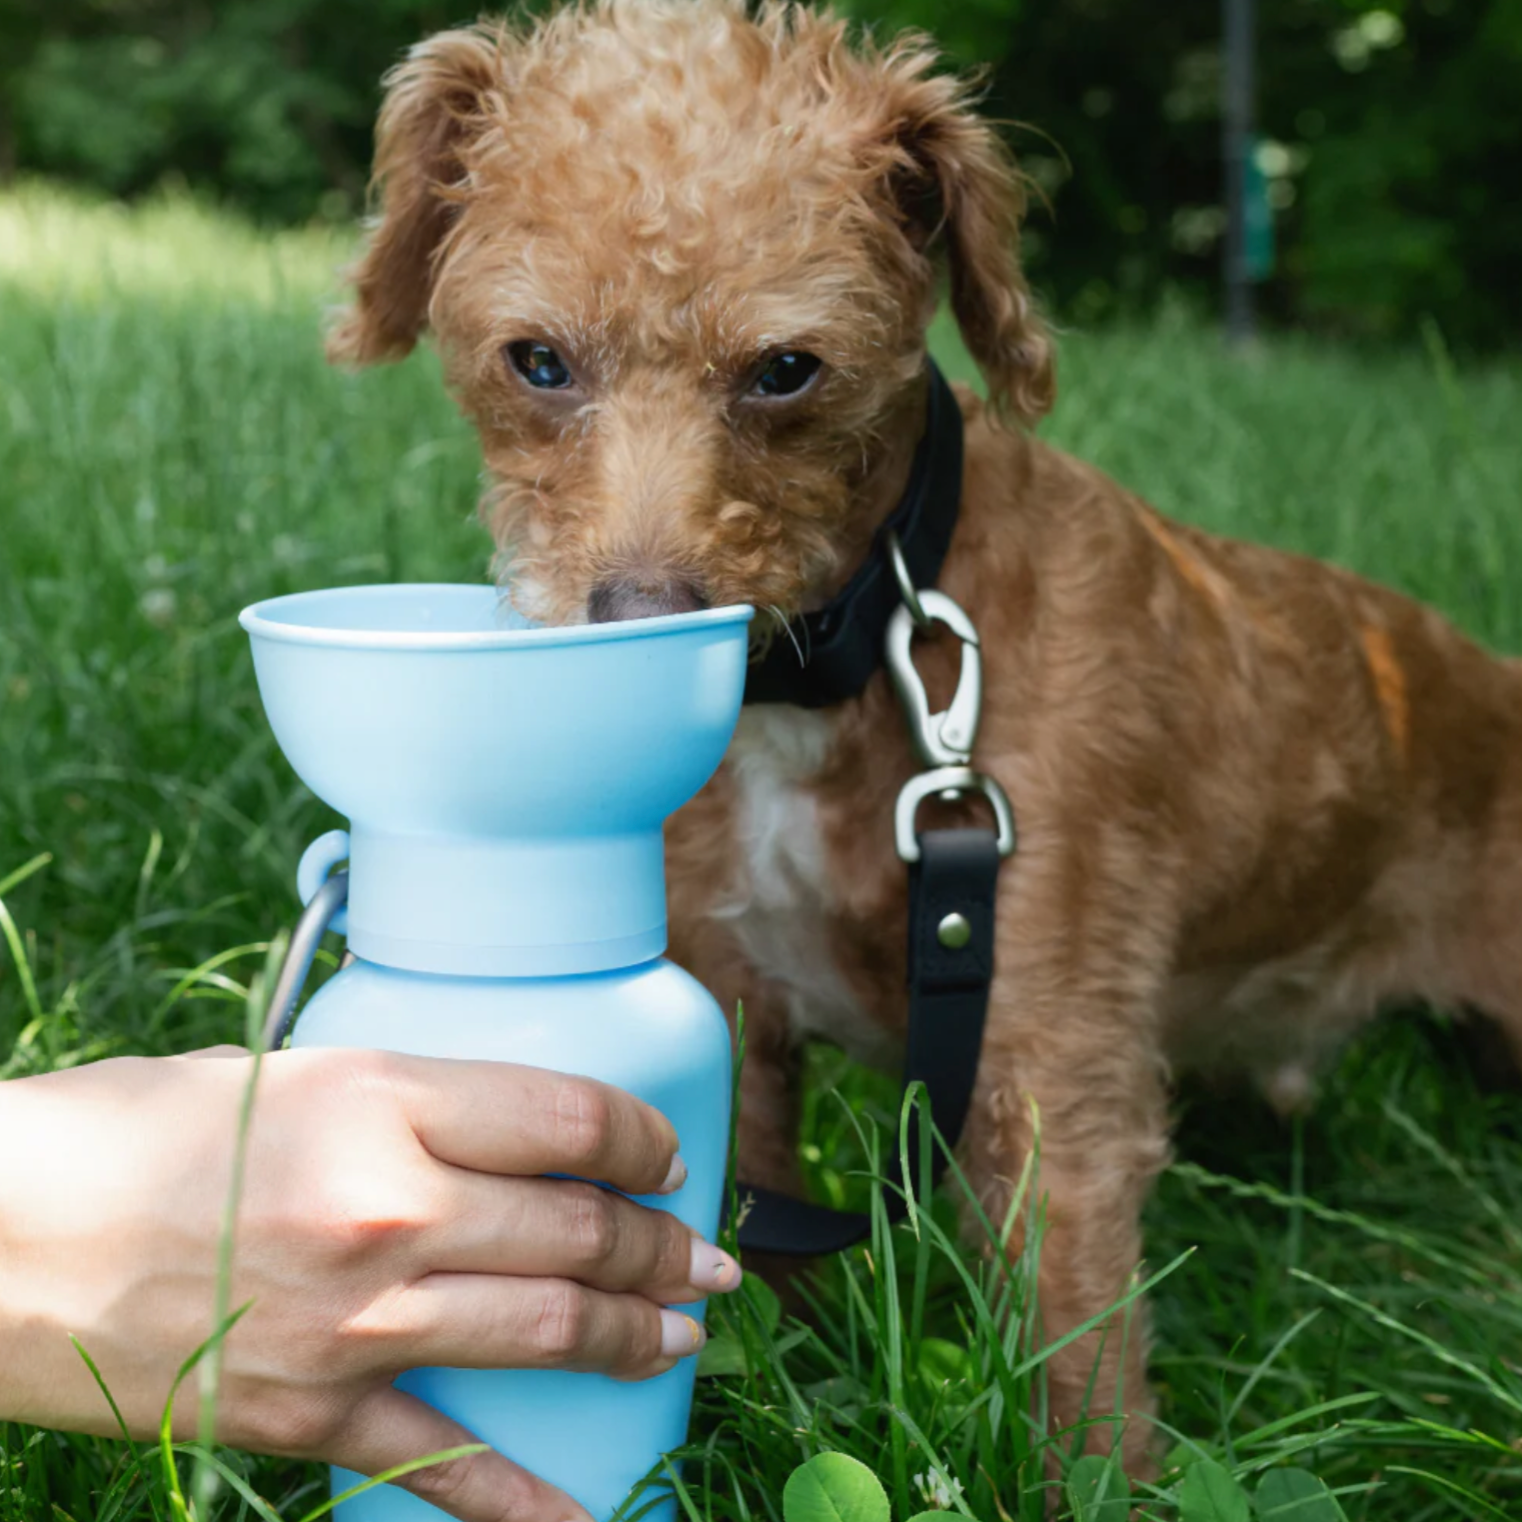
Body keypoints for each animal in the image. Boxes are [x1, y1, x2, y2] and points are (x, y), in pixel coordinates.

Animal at [324, 0, 1522, 1473]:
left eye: (787, 371)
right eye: (535, 361)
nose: (644, 619)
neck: (845, 674)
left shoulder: (1046, 1068)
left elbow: (1081, 1374)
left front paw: (1104, 1483)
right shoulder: (737, 1019)